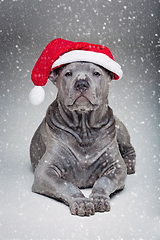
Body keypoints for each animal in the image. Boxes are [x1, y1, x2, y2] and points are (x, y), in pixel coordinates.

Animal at [30, 61, 136, 216]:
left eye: (96, 73)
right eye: (68, 73)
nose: (81, 84)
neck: (84, 128)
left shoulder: (116, 168)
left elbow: (104, 180)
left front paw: (99, 198)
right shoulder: (44, 172)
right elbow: (66, 184)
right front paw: (81, 201)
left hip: (118, 126)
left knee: (128, 147)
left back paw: (129, 163)